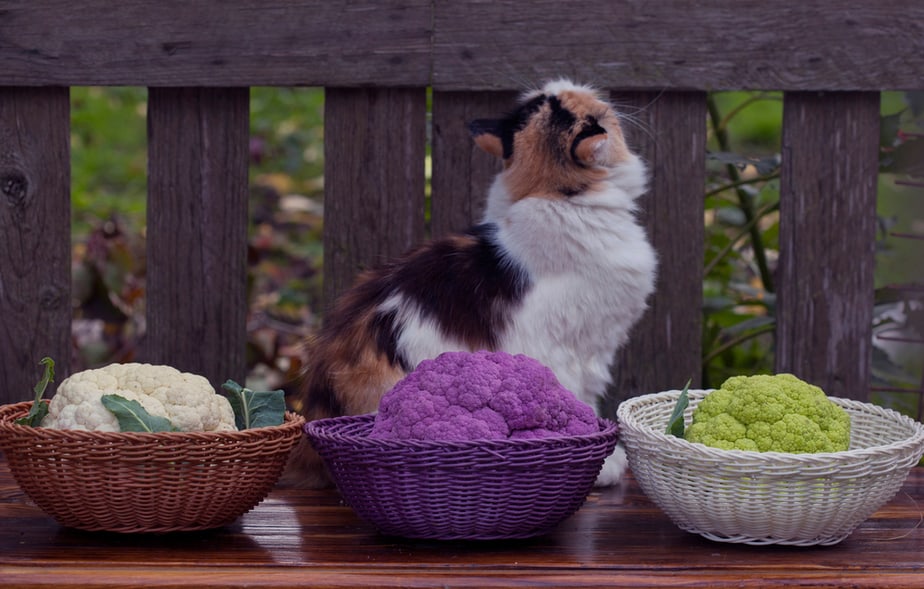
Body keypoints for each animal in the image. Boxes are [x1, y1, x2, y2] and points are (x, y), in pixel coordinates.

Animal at [288, 78, 656, 486]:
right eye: (557, 100)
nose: (562, 83)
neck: (551, 194)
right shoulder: (577, 351)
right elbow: (581, 404)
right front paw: (606, 463)